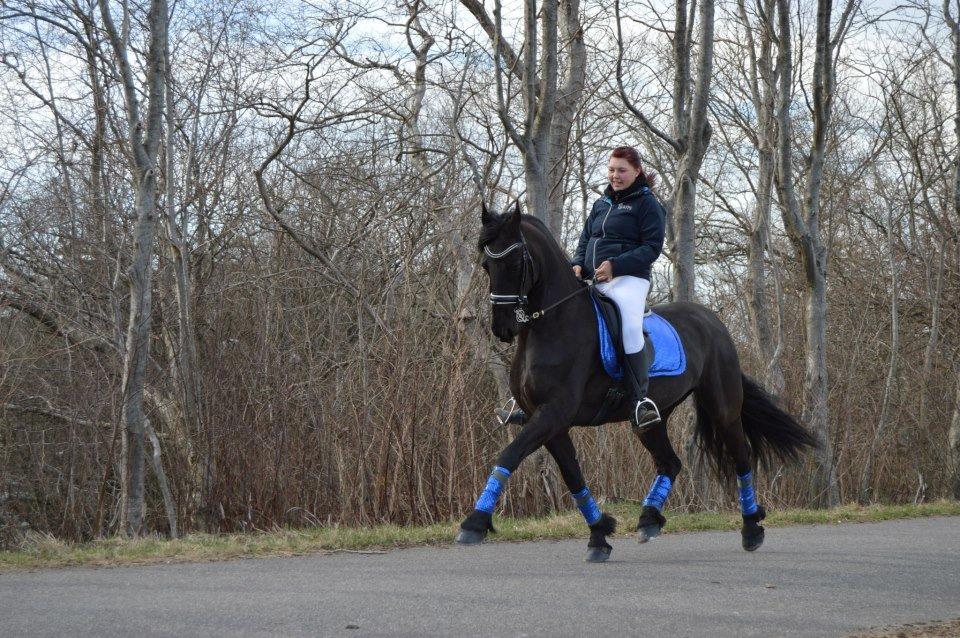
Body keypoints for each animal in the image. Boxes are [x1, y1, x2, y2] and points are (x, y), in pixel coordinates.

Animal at [458, 206, 816, 564]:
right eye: (486, 265)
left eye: (514, 263)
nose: (502, 328)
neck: (554, 325)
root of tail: (712, 322)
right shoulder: (549, 421)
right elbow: (572, 475)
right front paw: (599, 534)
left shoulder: (554, 413)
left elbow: (510, 454)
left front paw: (474, 523)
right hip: (650, 419)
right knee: (670, 462)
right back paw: (648, 520)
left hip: (722, 409)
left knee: (741, 457)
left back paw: (751, 528)